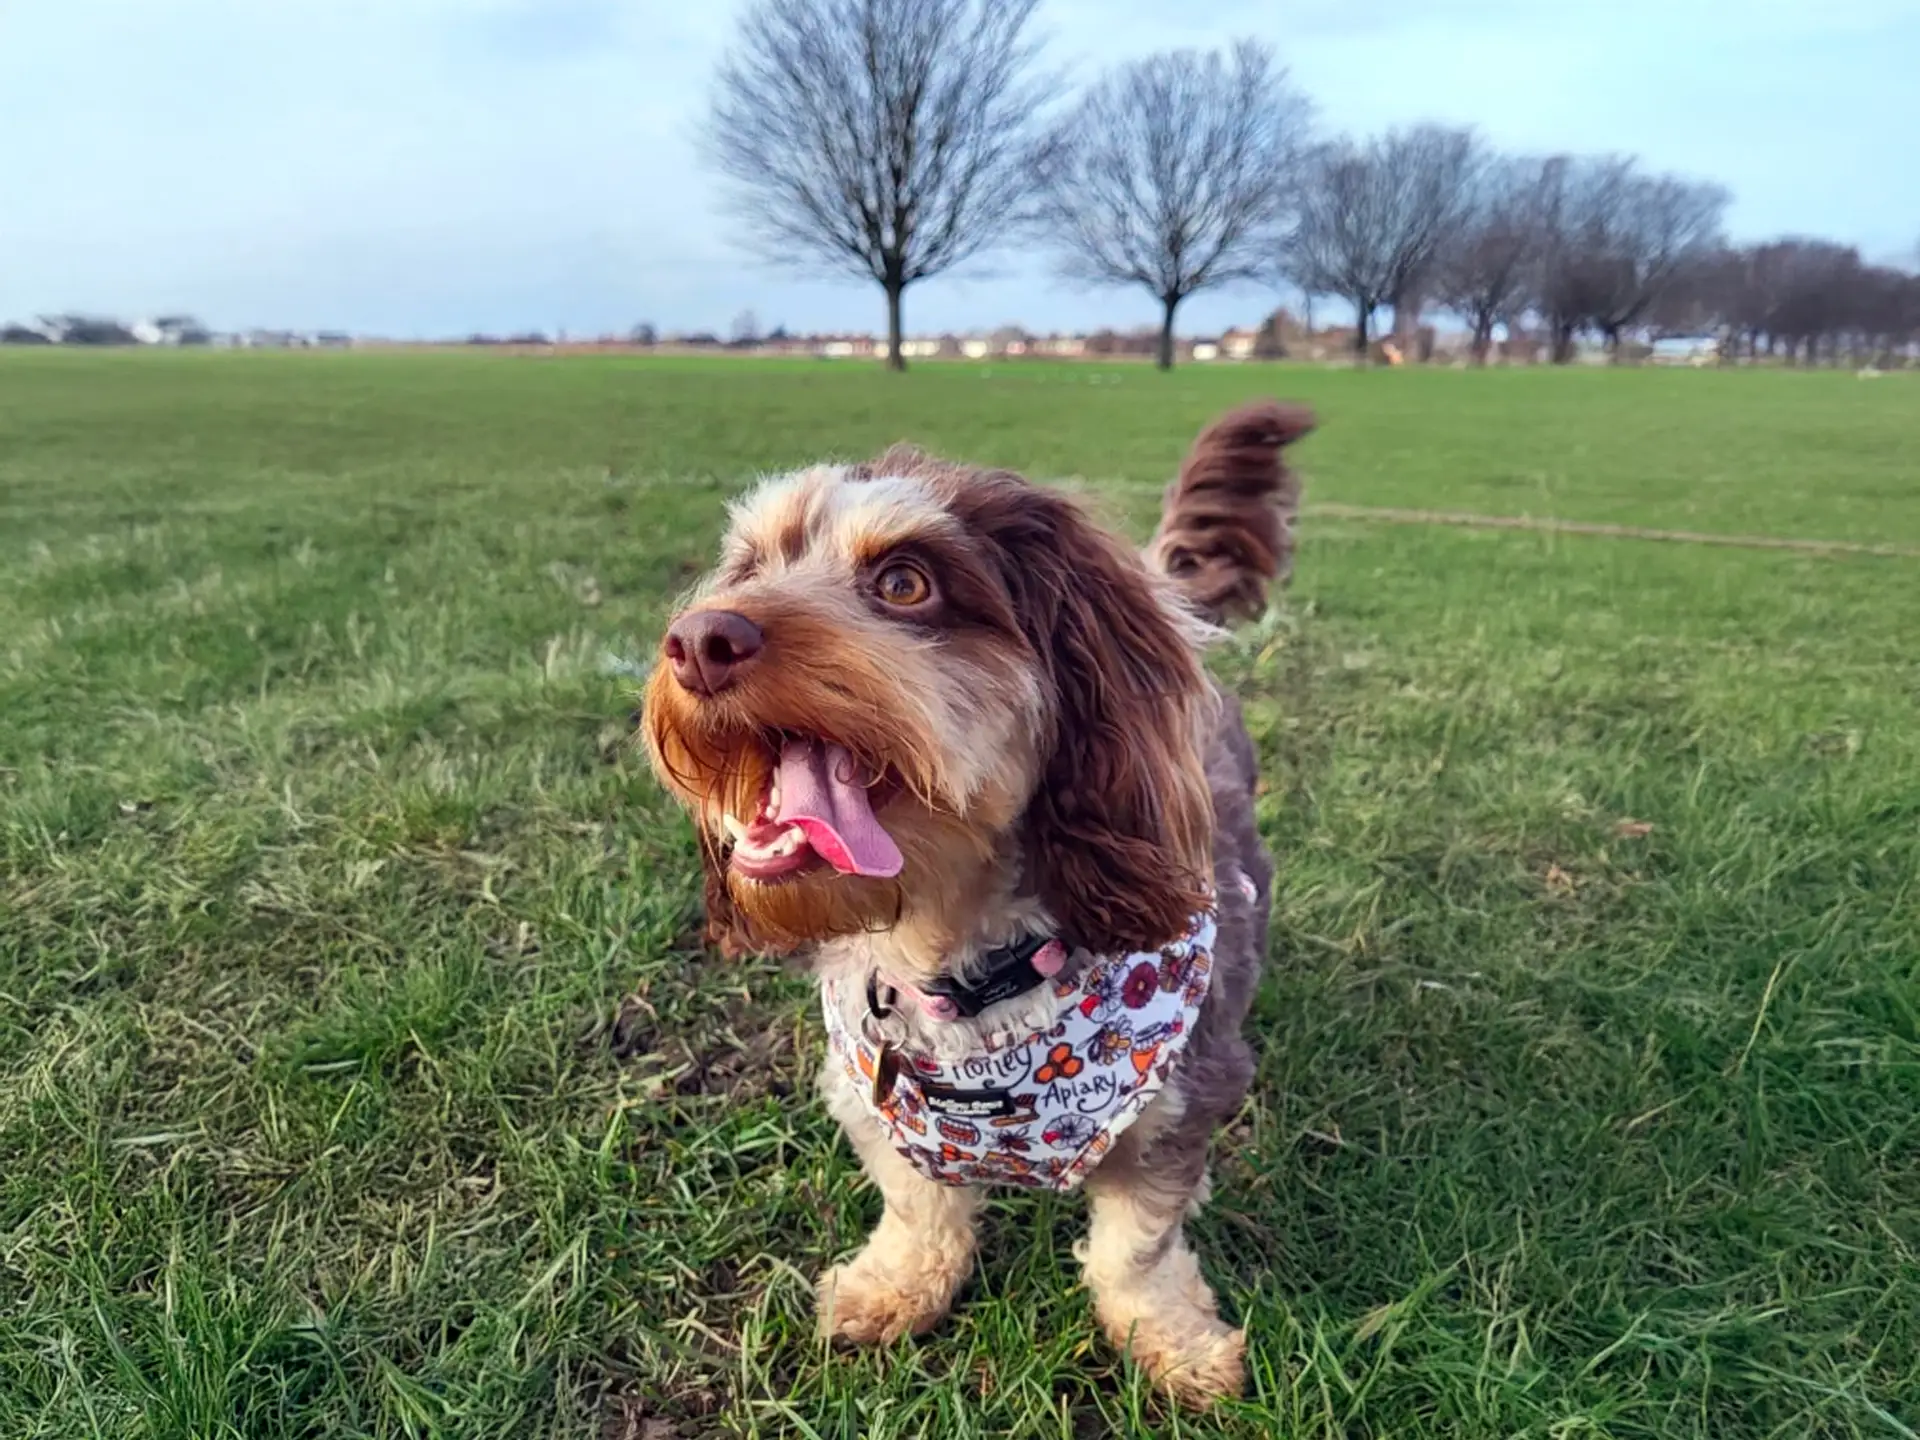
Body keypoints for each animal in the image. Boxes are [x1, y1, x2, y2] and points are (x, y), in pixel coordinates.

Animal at [645, 397, 1320, 1413]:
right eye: (753, 566)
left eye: (905, 582)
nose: (699, 640)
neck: (963, 969)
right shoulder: (873, 1095)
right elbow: (920, 1204)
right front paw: (898, 1286)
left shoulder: (1179, 1092)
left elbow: (1136, 1248)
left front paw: (1175, 1340)